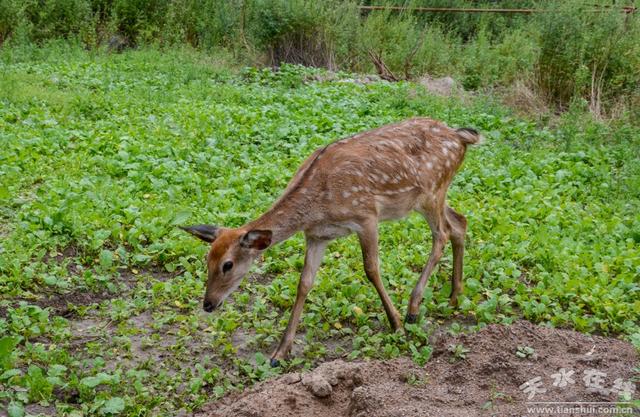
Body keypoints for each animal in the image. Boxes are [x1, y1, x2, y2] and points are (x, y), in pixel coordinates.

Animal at [180, 116, 480, 364]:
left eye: (227, 265)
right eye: (207, 260)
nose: (208, 304)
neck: (316, 207)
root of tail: (460, 137)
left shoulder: (366, 216)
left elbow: (371, 269)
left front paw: (396, 325)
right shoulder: (317, 236)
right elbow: (304, 283)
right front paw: (280, 353)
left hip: (431, 191)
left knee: (441, 234)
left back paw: (414, 308)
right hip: (434, 195)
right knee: (459, 222)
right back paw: (455, 295)